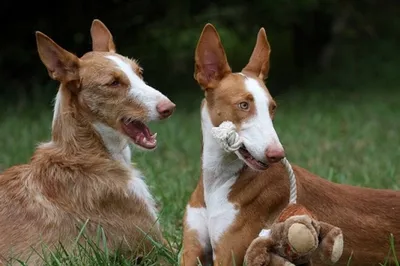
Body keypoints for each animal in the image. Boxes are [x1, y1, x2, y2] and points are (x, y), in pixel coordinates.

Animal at [180, 23, 400, 266]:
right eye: (243, 105)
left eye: (272, 107)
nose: (277, 154)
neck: (217, 180)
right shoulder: (190, 249)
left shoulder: (227, 256)